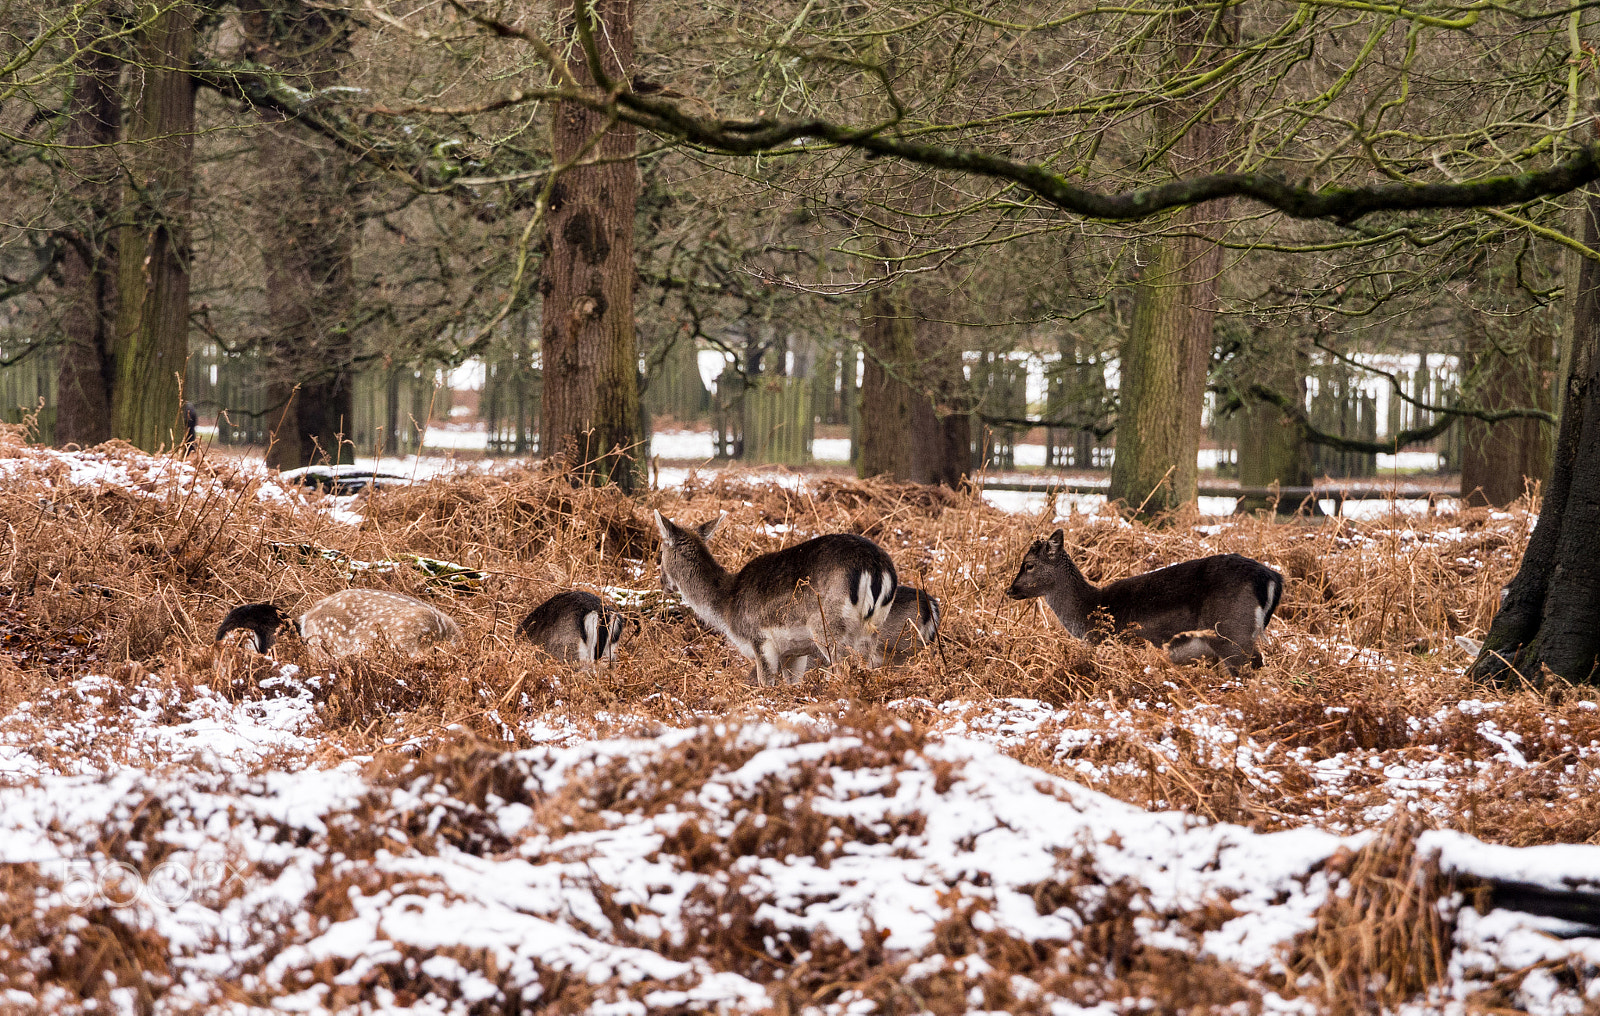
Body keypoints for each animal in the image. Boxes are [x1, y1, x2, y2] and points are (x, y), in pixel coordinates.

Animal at [652, 512, 902, 688]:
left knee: (844, 667)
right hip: (872, 628)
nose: (662, 582)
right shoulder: (795, 652)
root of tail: (876, 567)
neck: (726, 608)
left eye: (660, 552)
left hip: (828, 626)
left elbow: (766, 684)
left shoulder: (760, 638)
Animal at [1011, 531, 1286, 675]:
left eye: (1029, 564)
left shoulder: (1120, 643)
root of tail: (1272, 578)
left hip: (1231, 632)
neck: (1089, 611)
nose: (1010, 589)